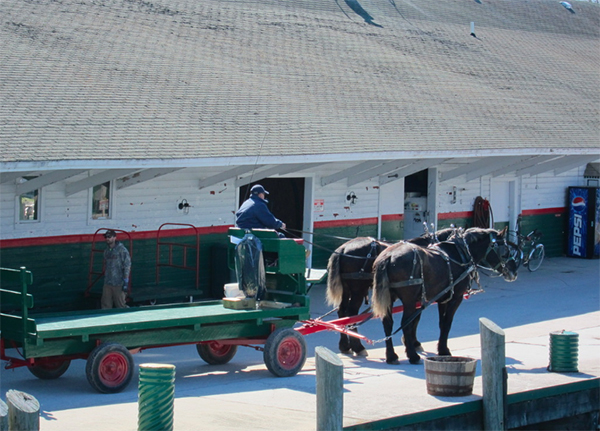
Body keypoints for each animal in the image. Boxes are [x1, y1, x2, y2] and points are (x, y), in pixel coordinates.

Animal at [328, 228, 454, 356]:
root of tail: (343, 249)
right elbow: (415, 318)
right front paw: (413, 343)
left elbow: (414, 318)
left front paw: (411, 342)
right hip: (358, 289)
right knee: (351, 313)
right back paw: (358, 347)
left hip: (346, 289)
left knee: (342, 312)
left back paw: (345, 345)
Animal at [370, 226, 516, 364]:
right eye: (505, 251)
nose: (514, 272)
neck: (460, 254)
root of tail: (388, 256)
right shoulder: (456, 297)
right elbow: (447, 323)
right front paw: (444, 350)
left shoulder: (443, 298)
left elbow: (440, 323)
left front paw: (439, 347)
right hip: (408, 300)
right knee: (405, 323)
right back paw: (413, 356)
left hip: (390, 298)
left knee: (387, 323)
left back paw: (391, 356)